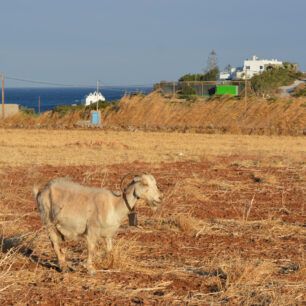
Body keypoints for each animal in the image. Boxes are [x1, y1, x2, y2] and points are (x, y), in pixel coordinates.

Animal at [32, 173, 163, 274]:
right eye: (145, 183)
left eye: (155, 183)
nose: (160, 198)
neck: (114, 204)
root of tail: (41, 191)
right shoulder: (91, 230)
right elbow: (91, 249)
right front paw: (90, 268)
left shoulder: (108, 234)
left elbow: (109, 250)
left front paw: (104, 264)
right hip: (48, 221)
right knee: (54, 243)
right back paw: (63, 267)